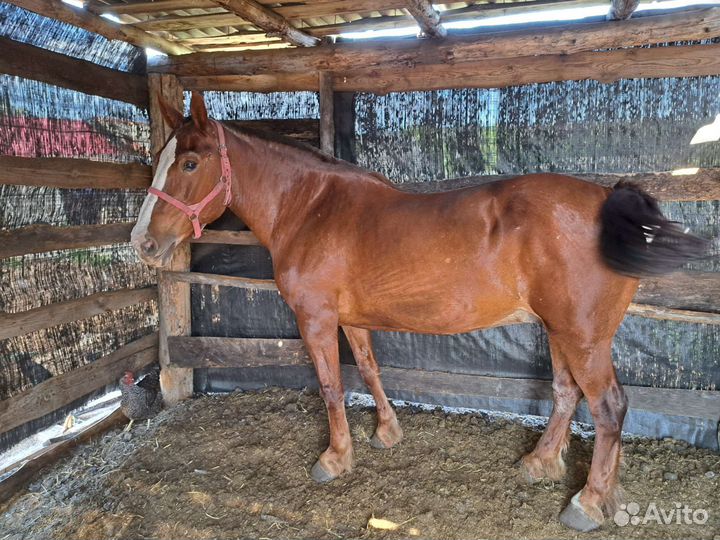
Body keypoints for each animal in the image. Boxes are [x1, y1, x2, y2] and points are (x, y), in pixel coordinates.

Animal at [131, 92, 707, 532]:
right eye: (157, 160)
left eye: (189, 162)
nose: (142, 243)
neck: (312, 208)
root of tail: (609, 199)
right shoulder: (353, 319)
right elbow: (368, 369)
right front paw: (386, 432)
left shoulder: (315, 319)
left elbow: (330, 386)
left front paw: (334, 458)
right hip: (559, 331)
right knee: (568, 394)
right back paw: (541, 463)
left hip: (583, 336)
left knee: (609, 407)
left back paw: (587, 502)